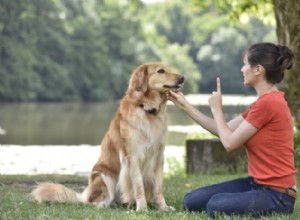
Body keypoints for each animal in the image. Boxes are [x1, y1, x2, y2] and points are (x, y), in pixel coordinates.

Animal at [31, 62, 184, 211]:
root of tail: (84, 195)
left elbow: (158, 187)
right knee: (93, 202)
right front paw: (142, 208)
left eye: (169, 69)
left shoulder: (159, 156)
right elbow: (138, 185)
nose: (182, 78)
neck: (147, 110)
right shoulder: (133, 156)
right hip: (103, 176)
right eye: (161, 71)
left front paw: (163, 207)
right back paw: (104, 205)